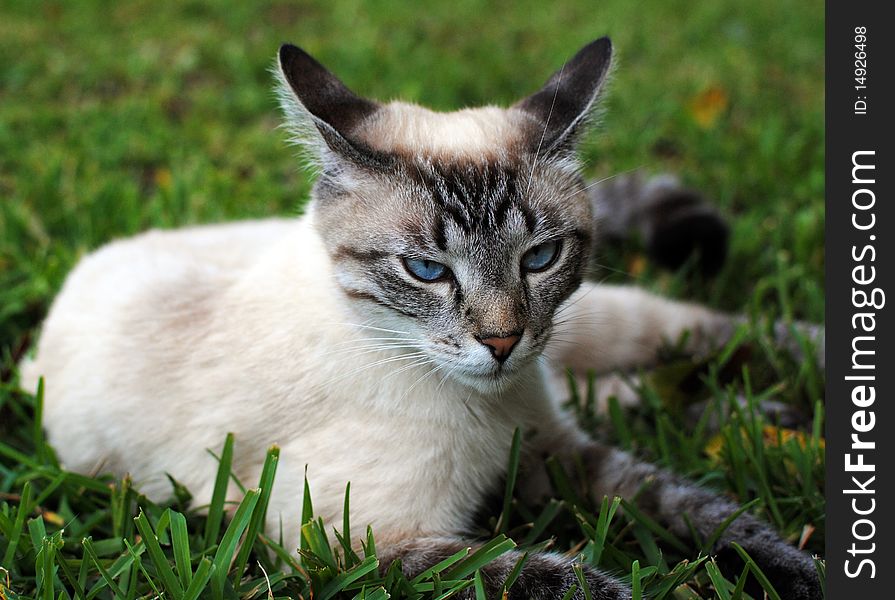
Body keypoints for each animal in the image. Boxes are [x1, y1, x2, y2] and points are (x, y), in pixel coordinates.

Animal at [21, 38, 824, 600]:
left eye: (540, 258)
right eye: (427, 271)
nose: (502, 342)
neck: (492, 410)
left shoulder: (560, 451)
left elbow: (703, 512)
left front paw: (800, 571)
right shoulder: (356, 544)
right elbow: (552, 577)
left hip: (602, 323)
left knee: (700, 341)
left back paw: (788, 395)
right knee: (643, 392)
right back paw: (757, 414)